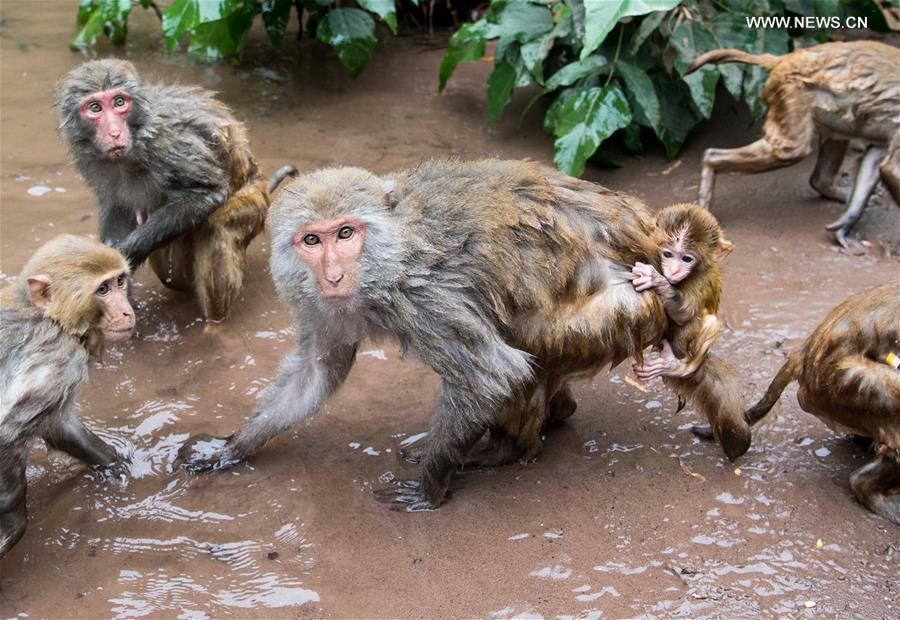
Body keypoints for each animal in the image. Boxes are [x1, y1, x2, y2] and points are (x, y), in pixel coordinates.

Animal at [0, 235, 135, 559]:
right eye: (102, 289)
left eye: (120, 281)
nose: (127, 312)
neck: (51, 319)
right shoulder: (57, 360)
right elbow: (7, 431)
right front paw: (13, 523)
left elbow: (59, 426)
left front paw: (113, 466)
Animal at [55, 59, 297, 324]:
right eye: (95, 108)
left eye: (119, 102)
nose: (114, 133)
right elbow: (117, 208)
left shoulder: (170, 143)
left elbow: (208, 191)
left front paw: (127, 254)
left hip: (254, 199)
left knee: (217, 225)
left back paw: (214, 324)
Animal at [629, 203, 749, 460]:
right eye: (667, 254)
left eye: (686, 258)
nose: (673, 272)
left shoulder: (700, 280)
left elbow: (685, 314)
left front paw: (657, 281)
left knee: (709, 321)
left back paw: (681, 368)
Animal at [687, 41, 900, 248]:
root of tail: (784, 59)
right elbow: (890, 169)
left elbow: (877, 159)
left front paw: (845, 224)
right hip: (790, 93)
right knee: (791, 150)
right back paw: (710, 163)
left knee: (835, 138)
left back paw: (828, 186)